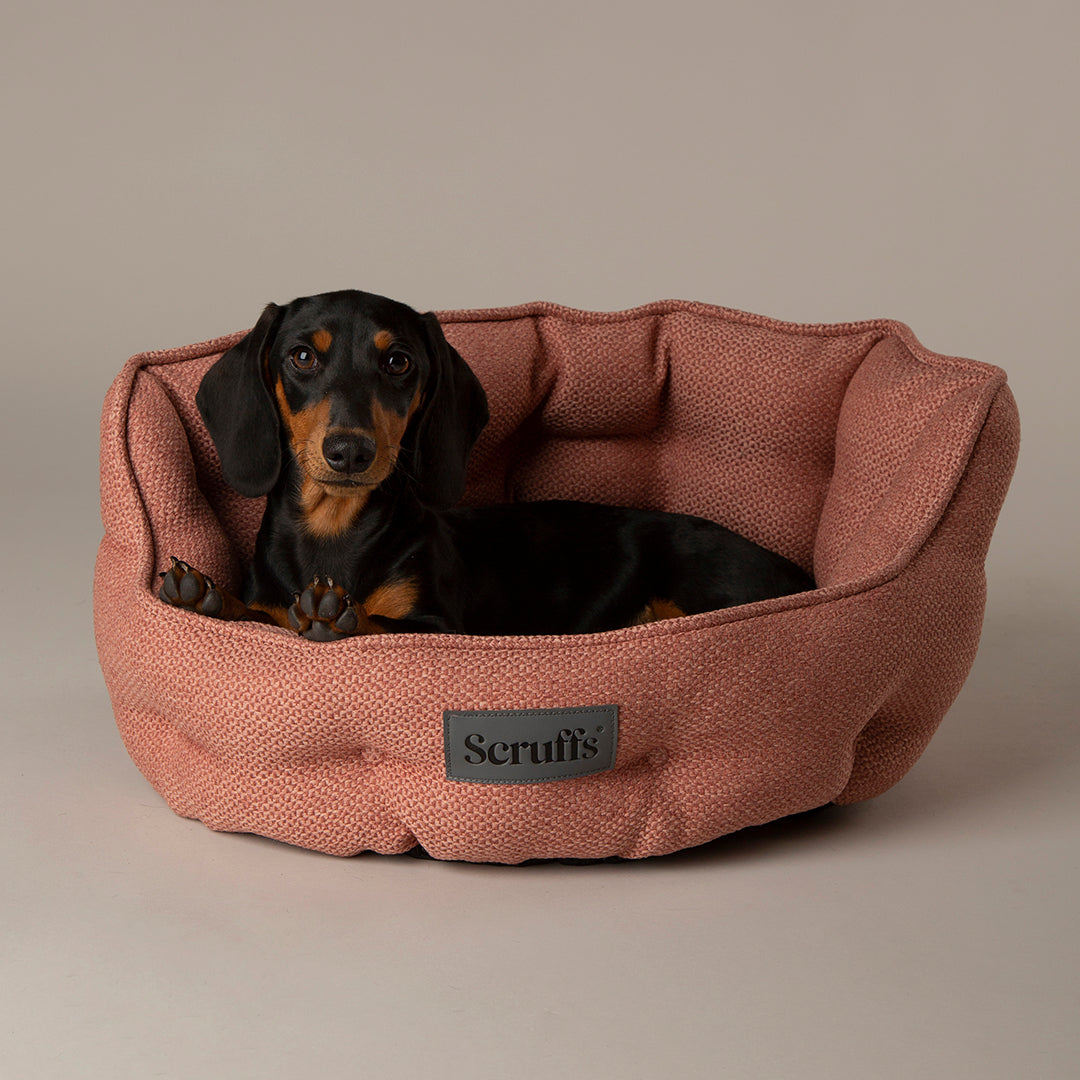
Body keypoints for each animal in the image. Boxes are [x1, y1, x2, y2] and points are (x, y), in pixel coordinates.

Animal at [159, 290, 814, 639]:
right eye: (300, 357)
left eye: (398, 361)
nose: (349, 452)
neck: (333, 529)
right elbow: (260, 615)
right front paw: (206, 598)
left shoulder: (440, 627)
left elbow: (383, 624)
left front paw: (338, 615)